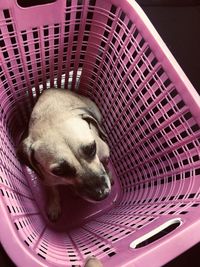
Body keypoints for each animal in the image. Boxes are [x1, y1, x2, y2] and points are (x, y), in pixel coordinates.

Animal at [17, 89, 112, 223]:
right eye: (59, 171)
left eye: (91, 148)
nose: (103, 193)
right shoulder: (48, 179)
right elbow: (53, 191)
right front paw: (54, 206)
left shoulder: (103, 154)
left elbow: (105, 165)